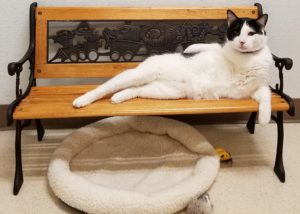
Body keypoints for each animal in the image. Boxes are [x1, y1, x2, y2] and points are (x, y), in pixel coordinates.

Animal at [72, 10, 272, 123]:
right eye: (236, 32)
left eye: (250, 33)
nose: (242, 42)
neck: (246, 59)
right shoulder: (218, 48)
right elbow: (206, 45)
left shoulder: (257, 86)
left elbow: (266, 96)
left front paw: (264, 118)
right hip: (139, 75)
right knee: (105, 87)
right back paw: (82, 100)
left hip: (164, 91)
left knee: (136, 89)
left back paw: (118, 97)